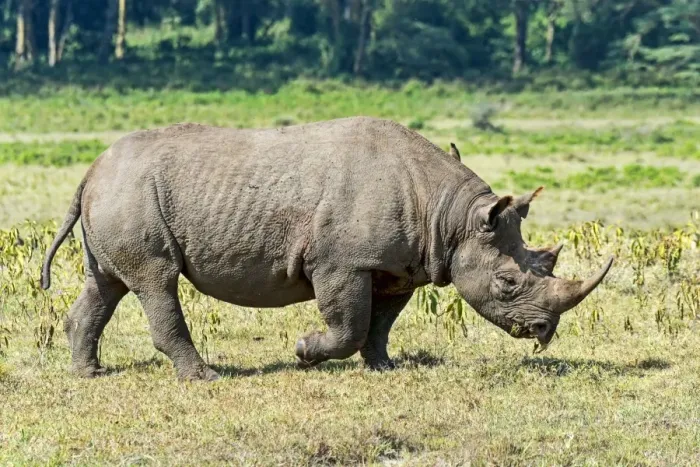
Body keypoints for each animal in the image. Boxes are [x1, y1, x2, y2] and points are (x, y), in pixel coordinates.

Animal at [41, 117, 613, 380]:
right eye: (508, 282)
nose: (543, 333)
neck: (448, 215)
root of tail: (92, 168)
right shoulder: (341, 263)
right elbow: (348, 324)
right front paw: (304, 351)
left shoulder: (399, 266)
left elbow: (379, 324)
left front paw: (384, 367)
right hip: (131, 193)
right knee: (155, 280)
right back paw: (204, 377)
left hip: (119, 194)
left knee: (108, 283)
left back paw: (90, 373)